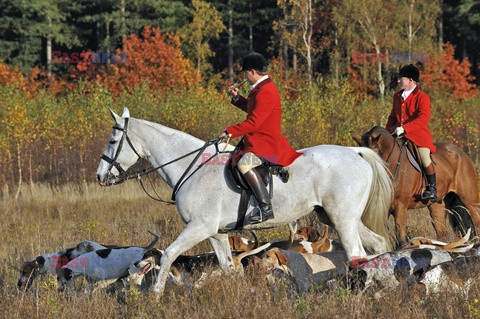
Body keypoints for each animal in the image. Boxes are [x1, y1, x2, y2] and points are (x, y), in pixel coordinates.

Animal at [95, 108, 392, 298]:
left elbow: (168, 255)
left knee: (358, 254)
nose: (100, 177)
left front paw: (155, 296)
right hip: (337, 217)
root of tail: (355, 152)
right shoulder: (216, 233)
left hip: (342, 219)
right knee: (377, 246)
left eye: (112, 140)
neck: (192, 167)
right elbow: (229, 269)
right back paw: (386, 287)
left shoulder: (198, 228)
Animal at [352, 125, 480, 248]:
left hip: (470, 202)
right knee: (442, 234)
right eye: (359, 156)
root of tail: (460, 152)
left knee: (476, 223)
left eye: (375, 155)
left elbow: (401, 240)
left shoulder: (400, 208)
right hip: (436, 205)